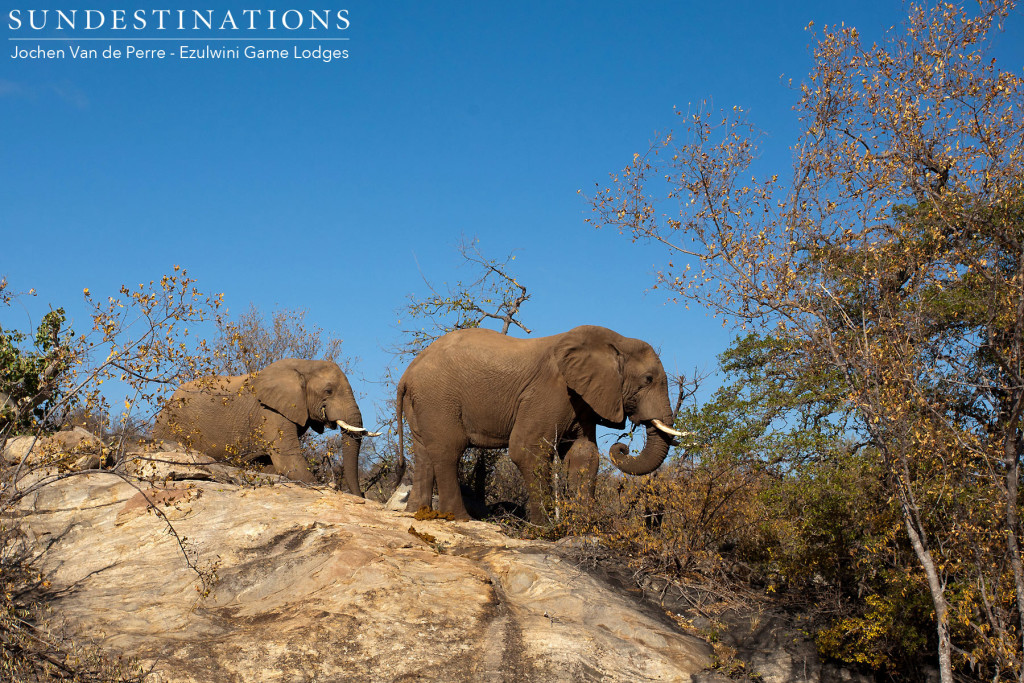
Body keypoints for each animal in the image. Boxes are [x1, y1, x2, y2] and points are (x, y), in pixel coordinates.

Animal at [395, 325, 684, 524]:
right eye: (648, 379)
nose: (621, 447)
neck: (614, 342)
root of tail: (407, 374)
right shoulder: (550, 391)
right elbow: (526, 449)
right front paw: (543, 528)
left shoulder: (582, 399)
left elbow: (584, 454)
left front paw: (582, 527)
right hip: (439, 398)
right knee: (448, 450)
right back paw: (460, 518)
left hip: (422, 402)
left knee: (423, 451)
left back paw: (416, 513)